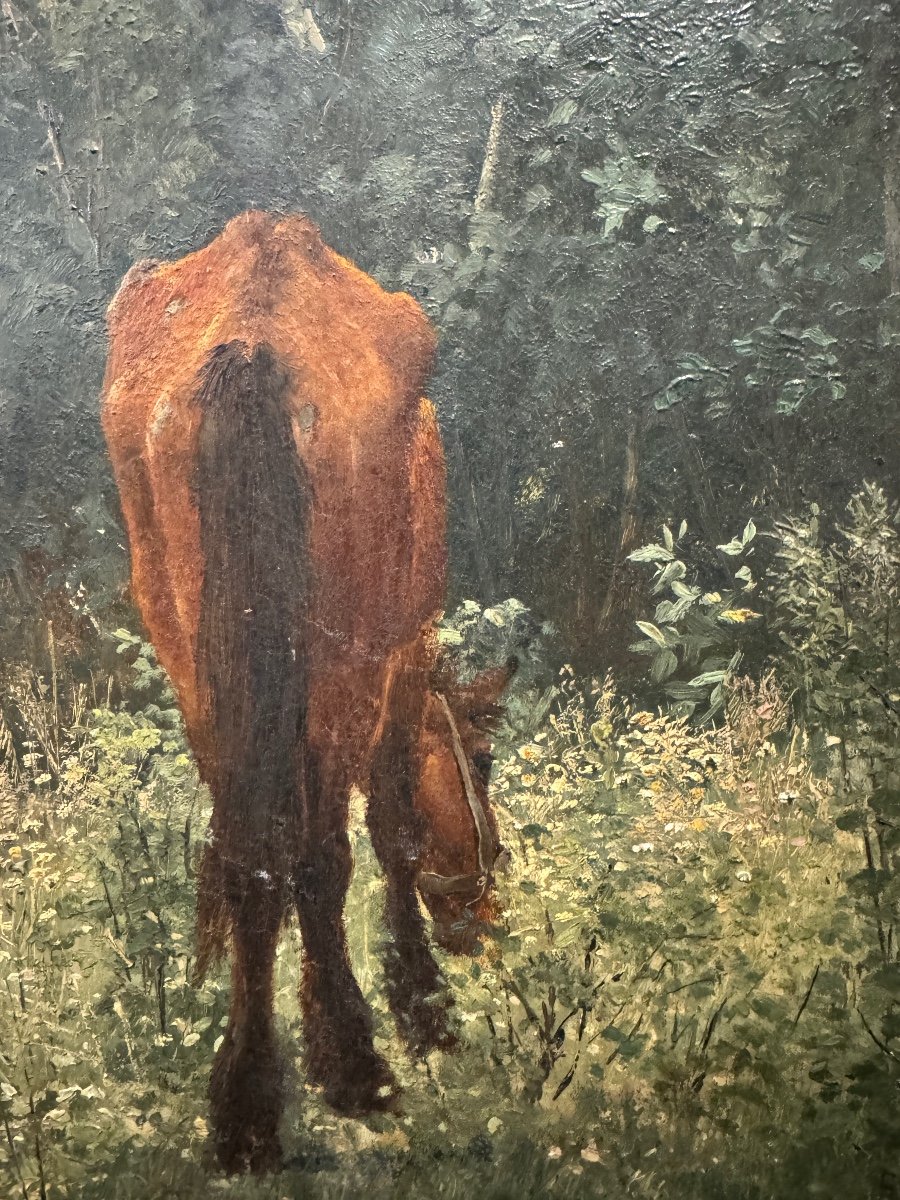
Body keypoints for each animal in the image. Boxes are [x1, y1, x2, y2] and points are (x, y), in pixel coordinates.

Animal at [100, 213, 513, 1171]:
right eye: (480, 760)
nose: (485, 911)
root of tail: (256, 345)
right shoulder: (403, 656)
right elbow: (393, 828)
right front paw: (419, 1007)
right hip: (340, 666)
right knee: (321, 855)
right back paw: (354, 1065)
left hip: (198, 667)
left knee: (251, 853)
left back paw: (245, 1104)